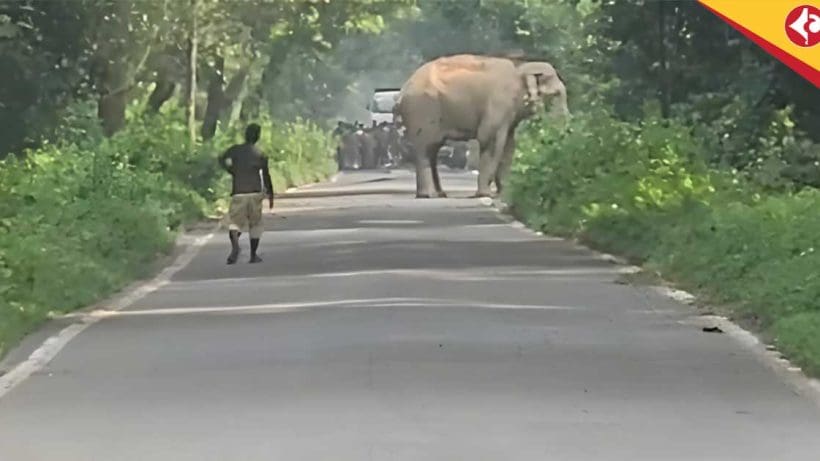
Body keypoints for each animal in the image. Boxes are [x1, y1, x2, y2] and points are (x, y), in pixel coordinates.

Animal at [393, 53, 569, 198]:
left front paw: (505, 194)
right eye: (555, 95)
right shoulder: (498, 104)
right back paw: (427, 195)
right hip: (423, 110)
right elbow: (490, 139)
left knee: (433, 150)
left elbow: (509, 145)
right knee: (425, 149)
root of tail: (402, 91)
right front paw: (485, 194)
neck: (521, 66)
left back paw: (439, 194)